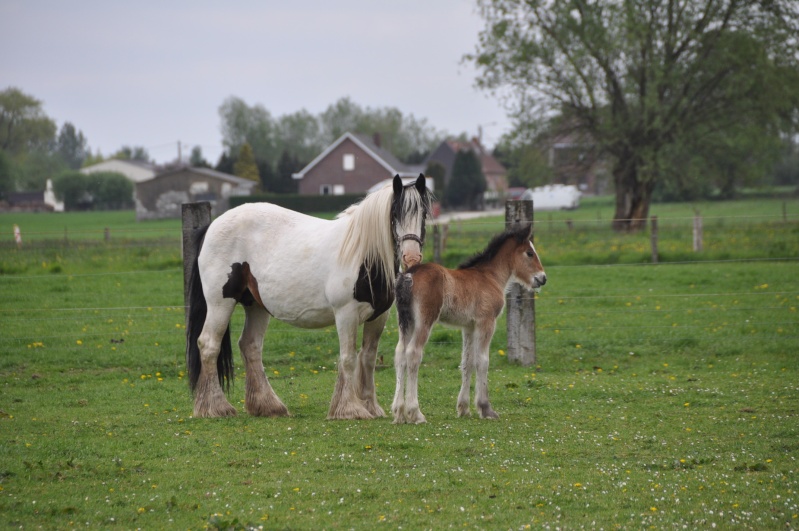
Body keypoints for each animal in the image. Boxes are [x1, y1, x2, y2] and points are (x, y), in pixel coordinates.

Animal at [185, 175, 432, 420]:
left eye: (424, 213)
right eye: (395, 213)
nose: (411, 257)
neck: (363, 254)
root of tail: (212, 226)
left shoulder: (379, 317)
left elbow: (368, 358)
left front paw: (371, 406)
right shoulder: (346, 314)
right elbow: (348, 358)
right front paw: (349, 409)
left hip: (255, 305)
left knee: (250, 346)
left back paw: (268, 406)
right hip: (220, 303)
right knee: (208, 344)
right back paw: (214, 407)